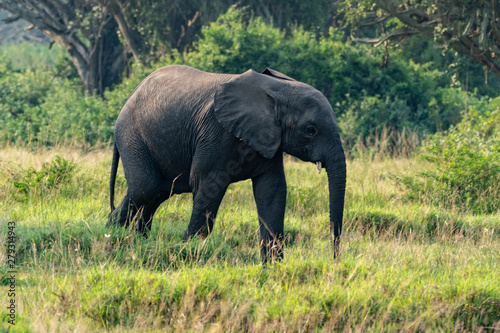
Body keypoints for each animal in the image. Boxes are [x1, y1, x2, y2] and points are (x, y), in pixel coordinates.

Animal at [107, 64, 346, 262]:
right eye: (310, 130)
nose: (334, 258)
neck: (277, 90)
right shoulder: (215, 134)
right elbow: (208, 187)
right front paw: (189, 254)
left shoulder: (269, 140)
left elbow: (272, 190)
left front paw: (272, 267)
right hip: (132, 135)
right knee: (146, 188)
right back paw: (112, 237)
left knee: (156, 194)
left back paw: (133, 241)